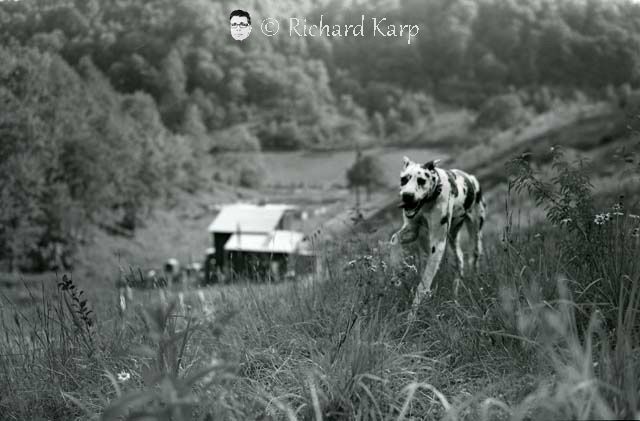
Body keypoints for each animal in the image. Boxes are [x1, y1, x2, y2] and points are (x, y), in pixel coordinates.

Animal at [390, 157, 484, 318]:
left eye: (421, 180)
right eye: (404, 179)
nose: (407, 196)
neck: (427, 203)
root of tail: (471, 178)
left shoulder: (437, 246)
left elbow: (423, 284)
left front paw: (412, 314)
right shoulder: (411, 231)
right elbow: (394, 240)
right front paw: (397, 272)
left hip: (474, 235)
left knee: (474, 259)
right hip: (452, 242)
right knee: (459, 262)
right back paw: (455, 295)